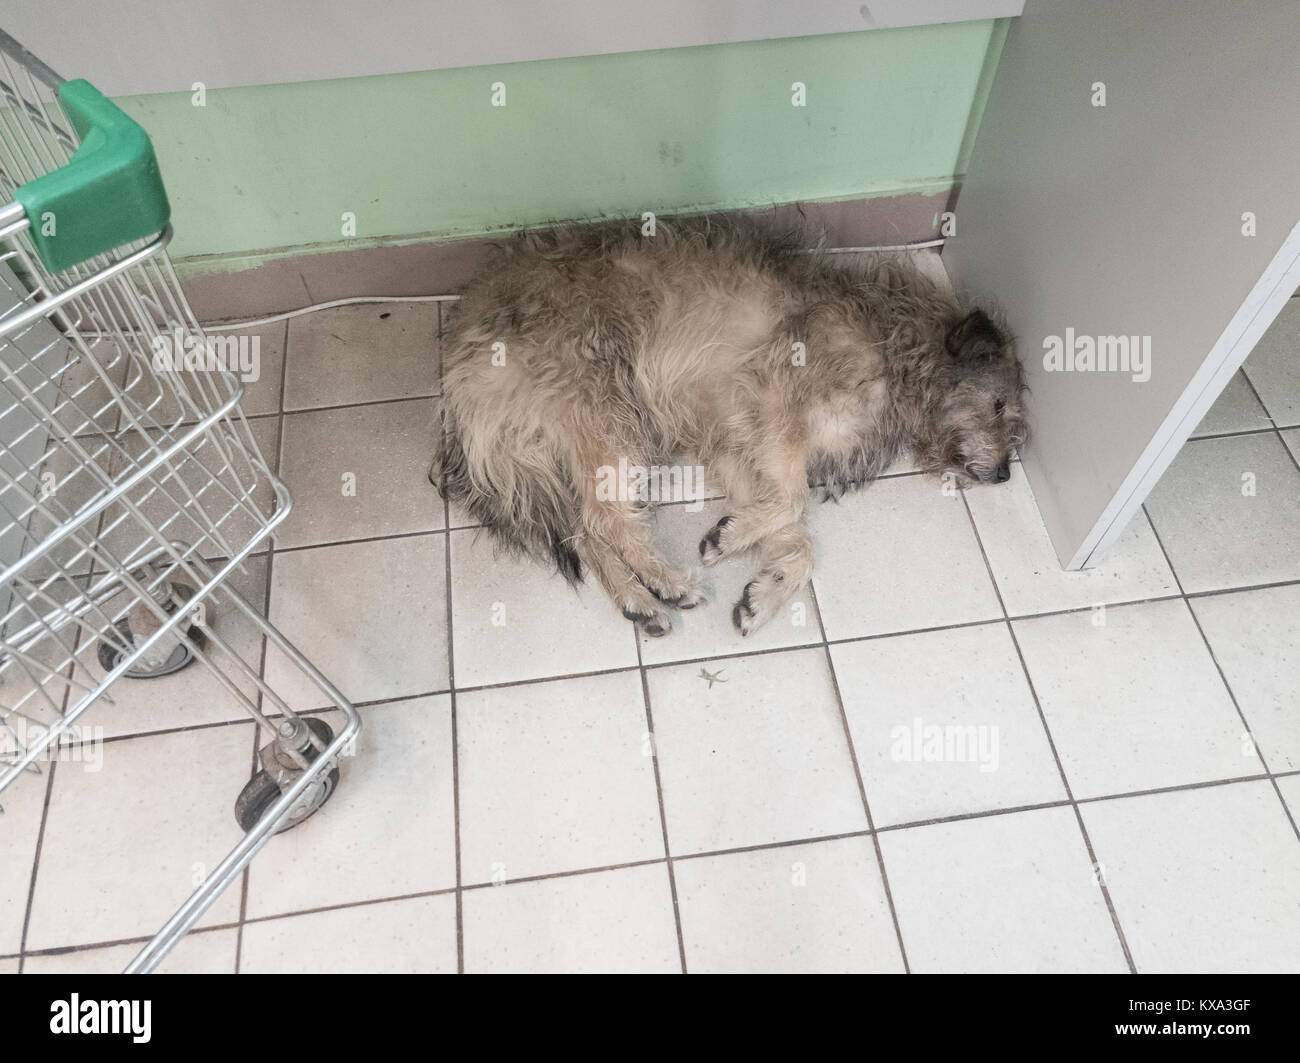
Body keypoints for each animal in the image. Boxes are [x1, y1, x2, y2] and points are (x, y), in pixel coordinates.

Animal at [434, 211, 1024, 634]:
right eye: (998, 405)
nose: (1005, 475)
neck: (898, 352)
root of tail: (457, 367)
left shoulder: (744, 451)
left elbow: (797, 539)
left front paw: (765, 583)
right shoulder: (778, 399)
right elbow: (793, 502)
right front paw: (736, 543)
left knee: (587, 528)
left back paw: (638, 601)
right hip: (607, 410)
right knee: (605, 518)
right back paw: (666, 582)